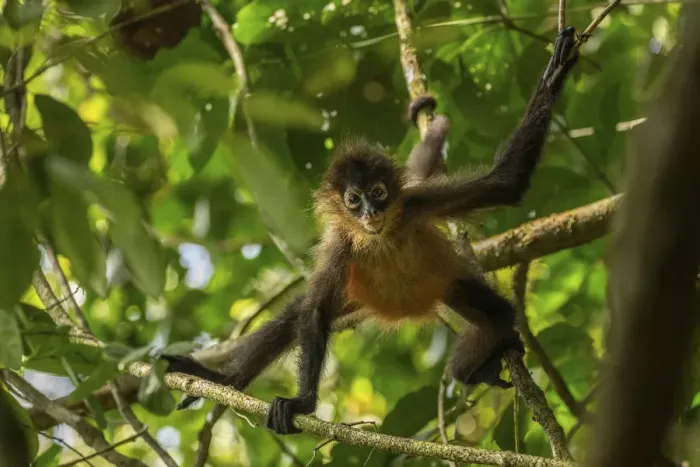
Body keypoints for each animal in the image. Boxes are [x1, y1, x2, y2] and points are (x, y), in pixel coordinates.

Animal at [163, 26, 579, 435]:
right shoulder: (340, 244)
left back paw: (476, 367)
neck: (379, 238)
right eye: (353, 200)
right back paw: (224, 382)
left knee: (499, 313)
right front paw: (303, 403)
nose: (369, 212)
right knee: (294, 316)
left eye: (378, 193)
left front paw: (554, 73)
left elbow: (506, 184)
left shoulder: (416, 204)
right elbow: (313, 312)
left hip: (448, 283)